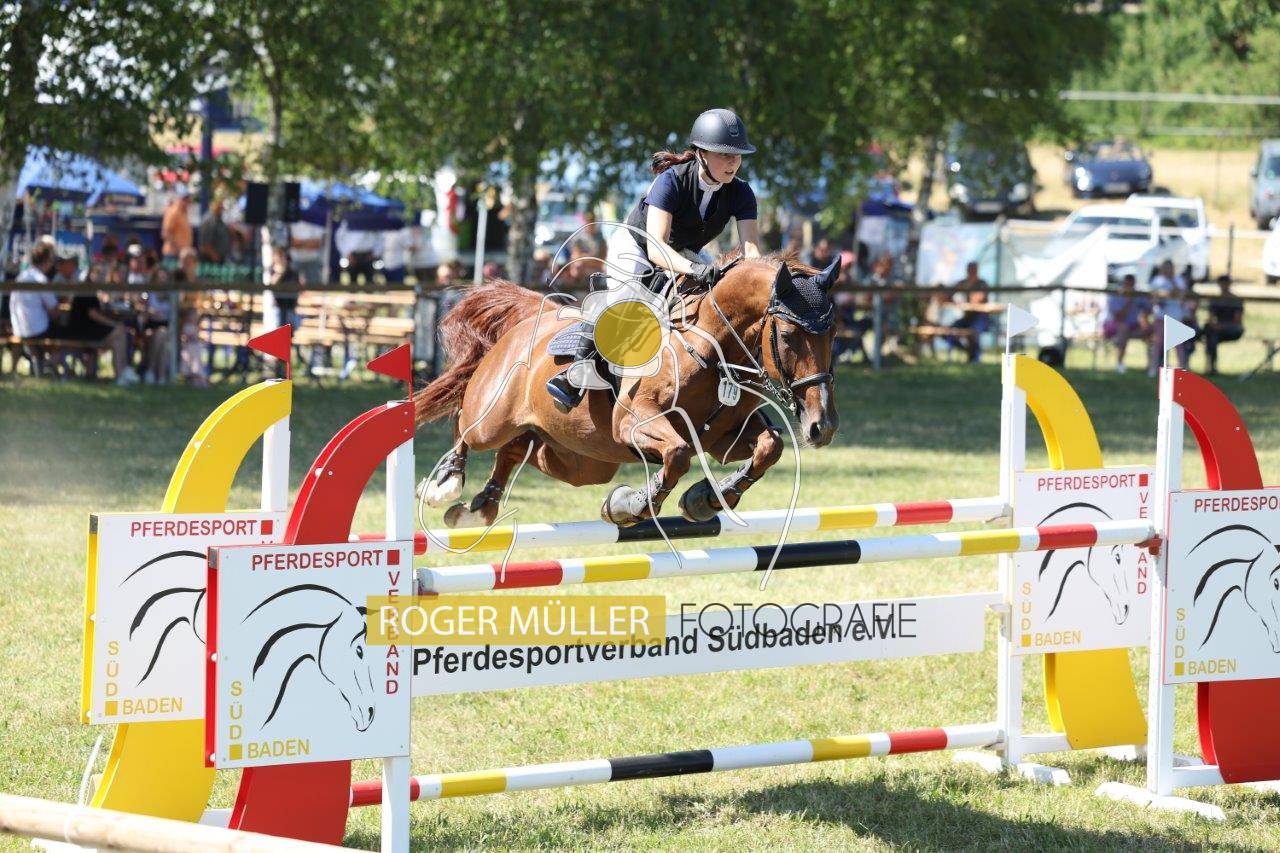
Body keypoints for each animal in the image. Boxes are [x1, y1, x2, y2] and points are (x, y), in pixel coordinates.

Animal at [412, 253, 841, 529]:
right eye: (787, 336)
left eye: (833, 334)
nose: (823, 427)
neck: (711, 346)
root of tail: (531, 315)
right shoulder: (634, 423)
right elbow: (677, 455)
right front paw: (629, 505)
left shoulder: (722, 437)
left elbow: (770, 447)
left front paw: (706, 499)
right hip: (496, 417)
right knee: (467, 426)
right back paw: (444, 484)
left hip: (580, 459)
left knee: (519, 450)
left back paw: (479, 507)